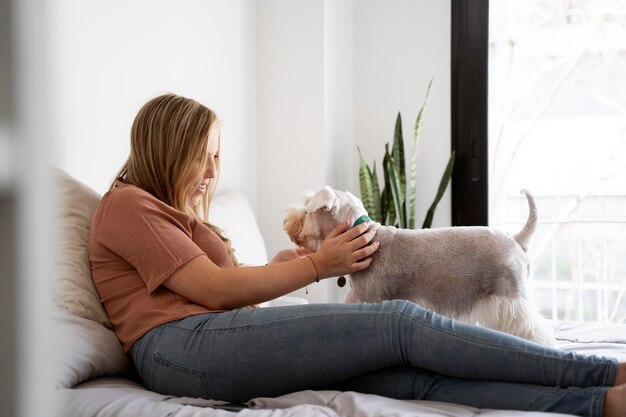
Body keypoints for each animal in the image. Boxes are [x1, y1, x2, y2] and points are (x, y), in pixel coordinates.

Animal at [282, 187, 552, 346]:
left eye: (308, 207)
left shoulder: (366, 299)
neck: (368, 238)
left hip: (511, 299)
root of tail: (516, 239)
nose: (288, 221)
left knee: (533, 328)